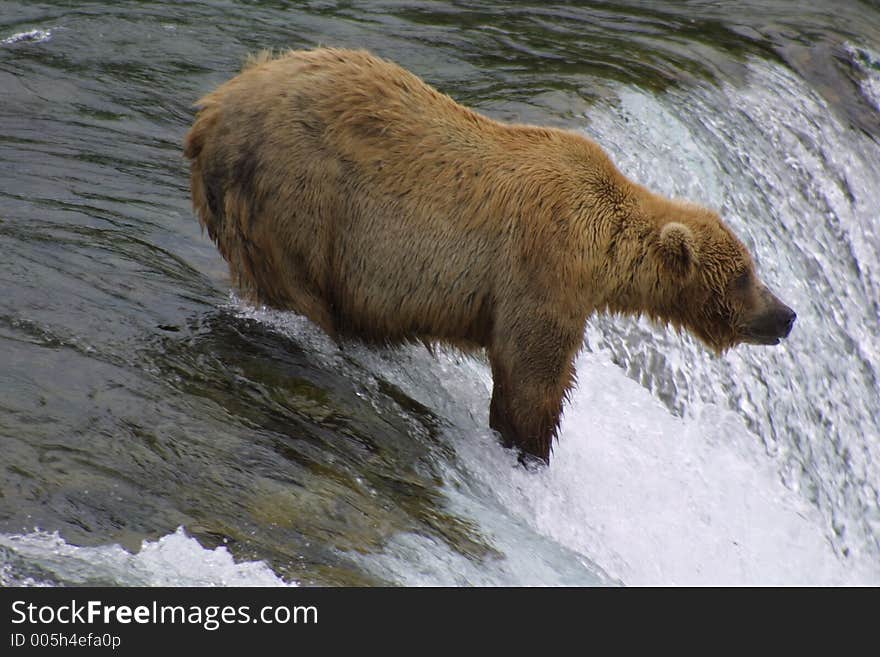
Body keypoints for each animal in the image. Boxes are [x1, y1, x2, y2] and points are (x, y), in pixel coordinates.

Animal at [184, 47, 796, 462]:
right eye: (744, 275)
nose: (786, 315)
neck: (603, 252)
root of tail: (211, 110)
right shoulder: (544, 263)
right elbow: (531, 369)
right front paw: (529, 446)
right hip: (298, 198)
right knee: (299, 288)